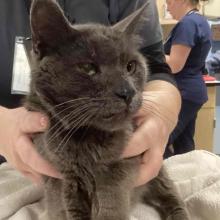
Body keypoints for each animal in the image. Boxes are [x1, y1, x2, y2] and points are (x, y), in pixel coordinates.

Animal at [24, 0, 189, 220]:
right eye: (88, 68)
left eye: (130, 66)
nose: (127, 92)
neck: (84, 136)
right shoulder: (61, 177)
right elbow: (69, 208)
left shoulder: (118, 168)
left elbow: (110, 203)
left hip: (157, 172)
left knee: (169, 193)